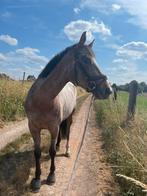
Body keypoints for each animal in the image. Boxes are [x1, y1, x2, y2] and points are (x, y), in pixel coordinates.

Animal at [24, 31, 111, 191]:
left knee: (68, 133)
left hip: (69, 117)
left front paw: (51, 176)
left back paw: (66, 151)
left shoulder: (54, 127)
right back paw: (59, 146)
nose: (108, 90)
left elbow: (51, 151)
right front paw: (37, 178)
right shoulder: (33, 128)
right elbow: (37, 153)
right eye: (86, 59)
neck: (42, 99)